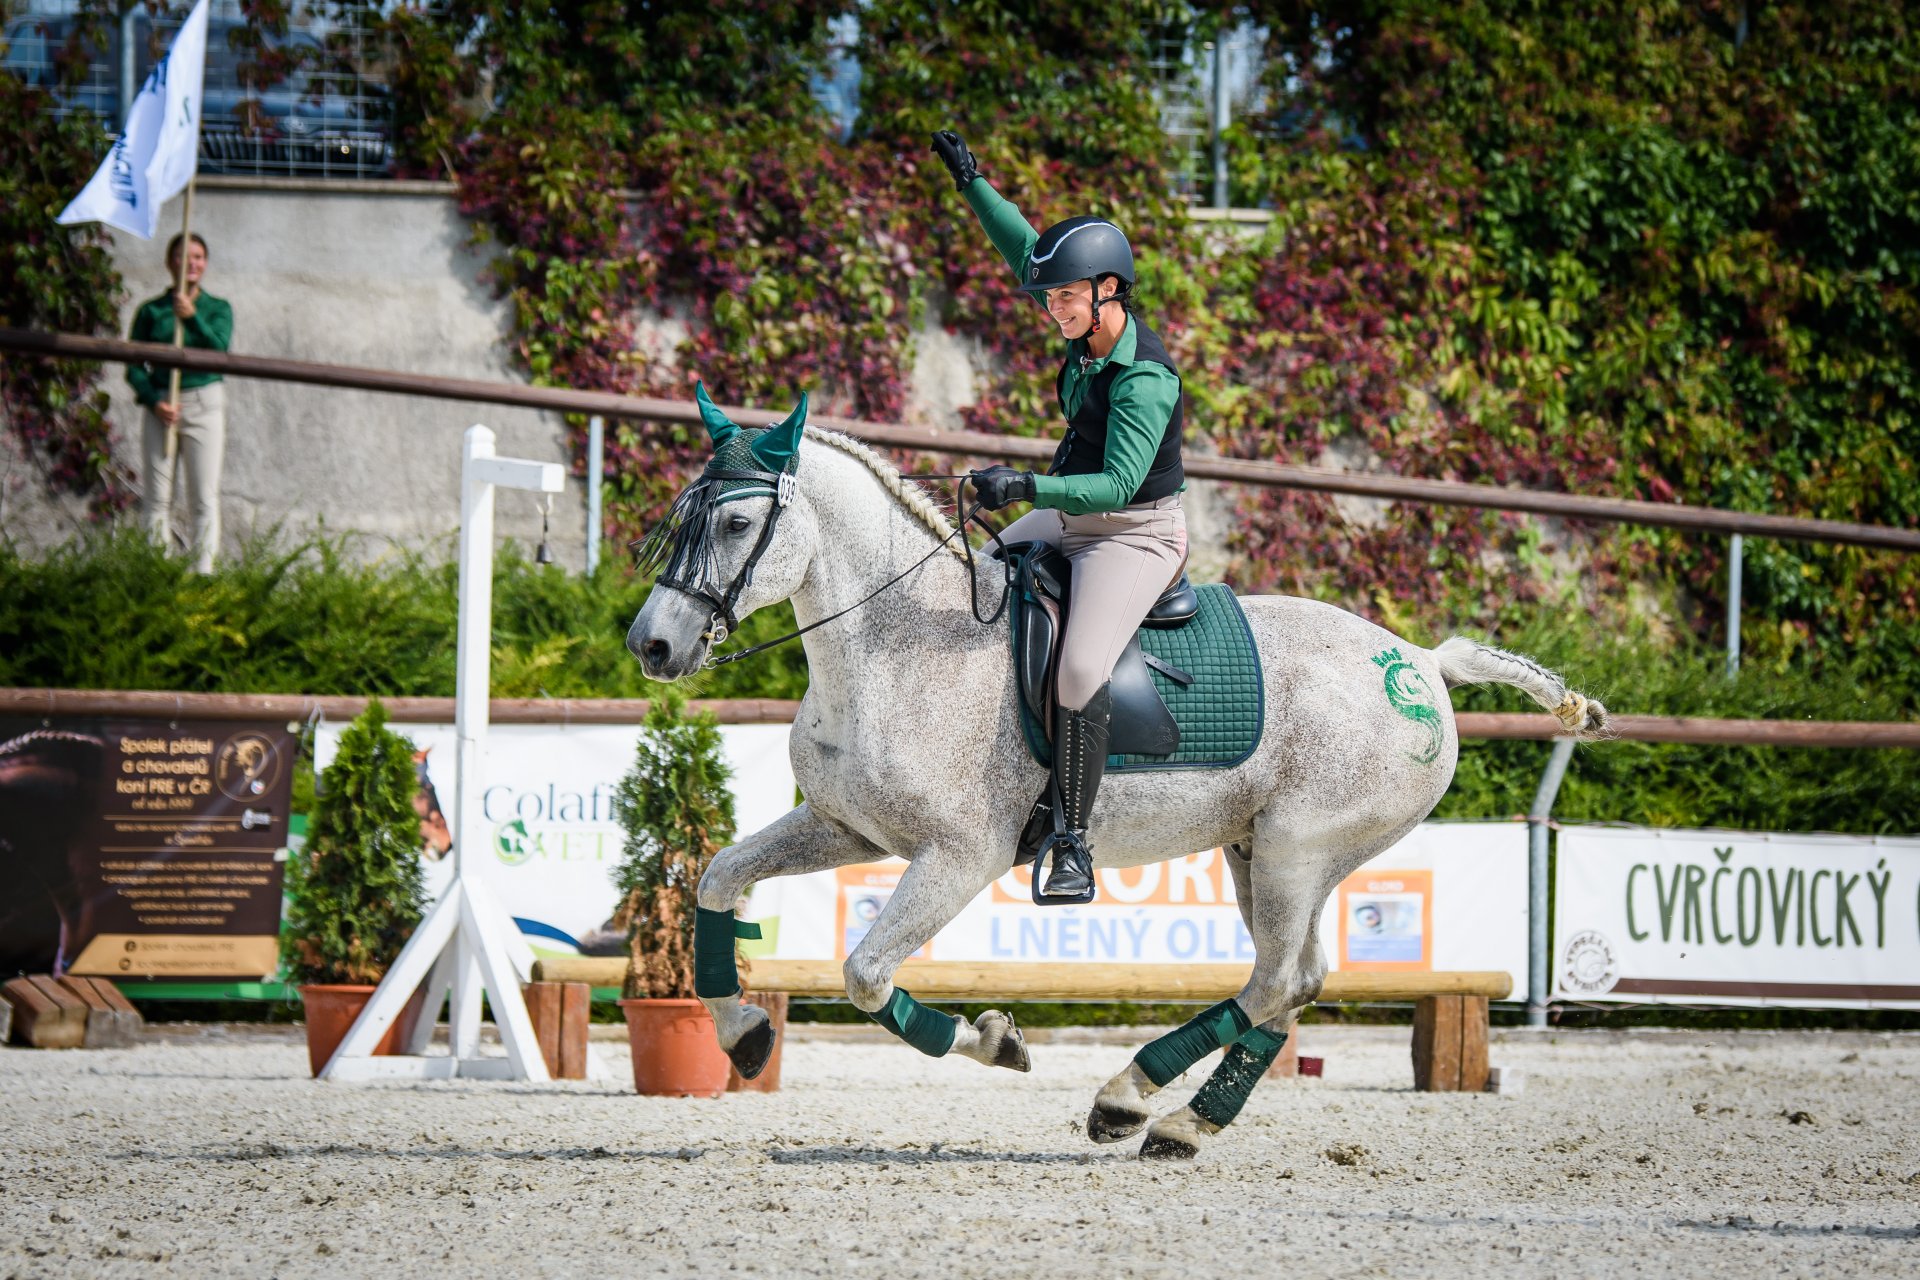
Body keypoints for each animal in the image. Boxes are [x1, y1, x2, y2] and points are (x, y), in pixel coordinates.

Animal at [629, 404, 1605, 1166]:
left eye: (733, 526)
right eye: (682, 519)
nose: (653, 645)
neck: (895, 644)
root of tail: (1423, 664)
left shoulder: (959, 855)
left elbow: (866, 974)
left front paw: (993, 1041)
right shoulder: (847, 829)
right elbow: (719, 877)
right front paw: (743, 1033)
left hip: (1300, 848)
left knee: (1272, 985)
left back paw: (1131, 1099)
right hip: (1262, 853)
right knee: (1295, 981)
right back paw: (1182, 1124)